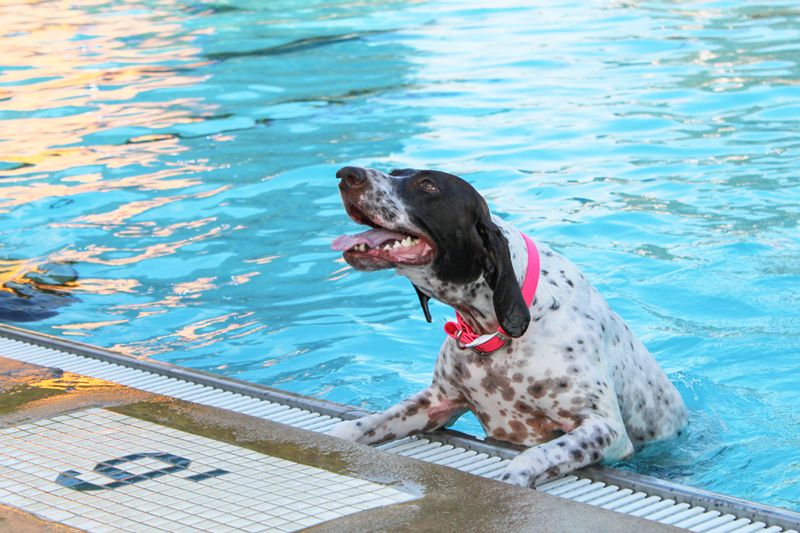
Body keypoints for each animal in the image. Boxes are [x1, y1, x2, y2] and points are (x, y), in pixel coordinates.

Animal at [324, 166, 688, 486]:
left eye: (428, 186)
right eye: (394, 172)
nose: (346, 174)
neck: (497, 333)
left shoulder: (604, 428)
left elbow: (533, 456)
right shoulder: (437, 402)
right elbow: (362, 424)